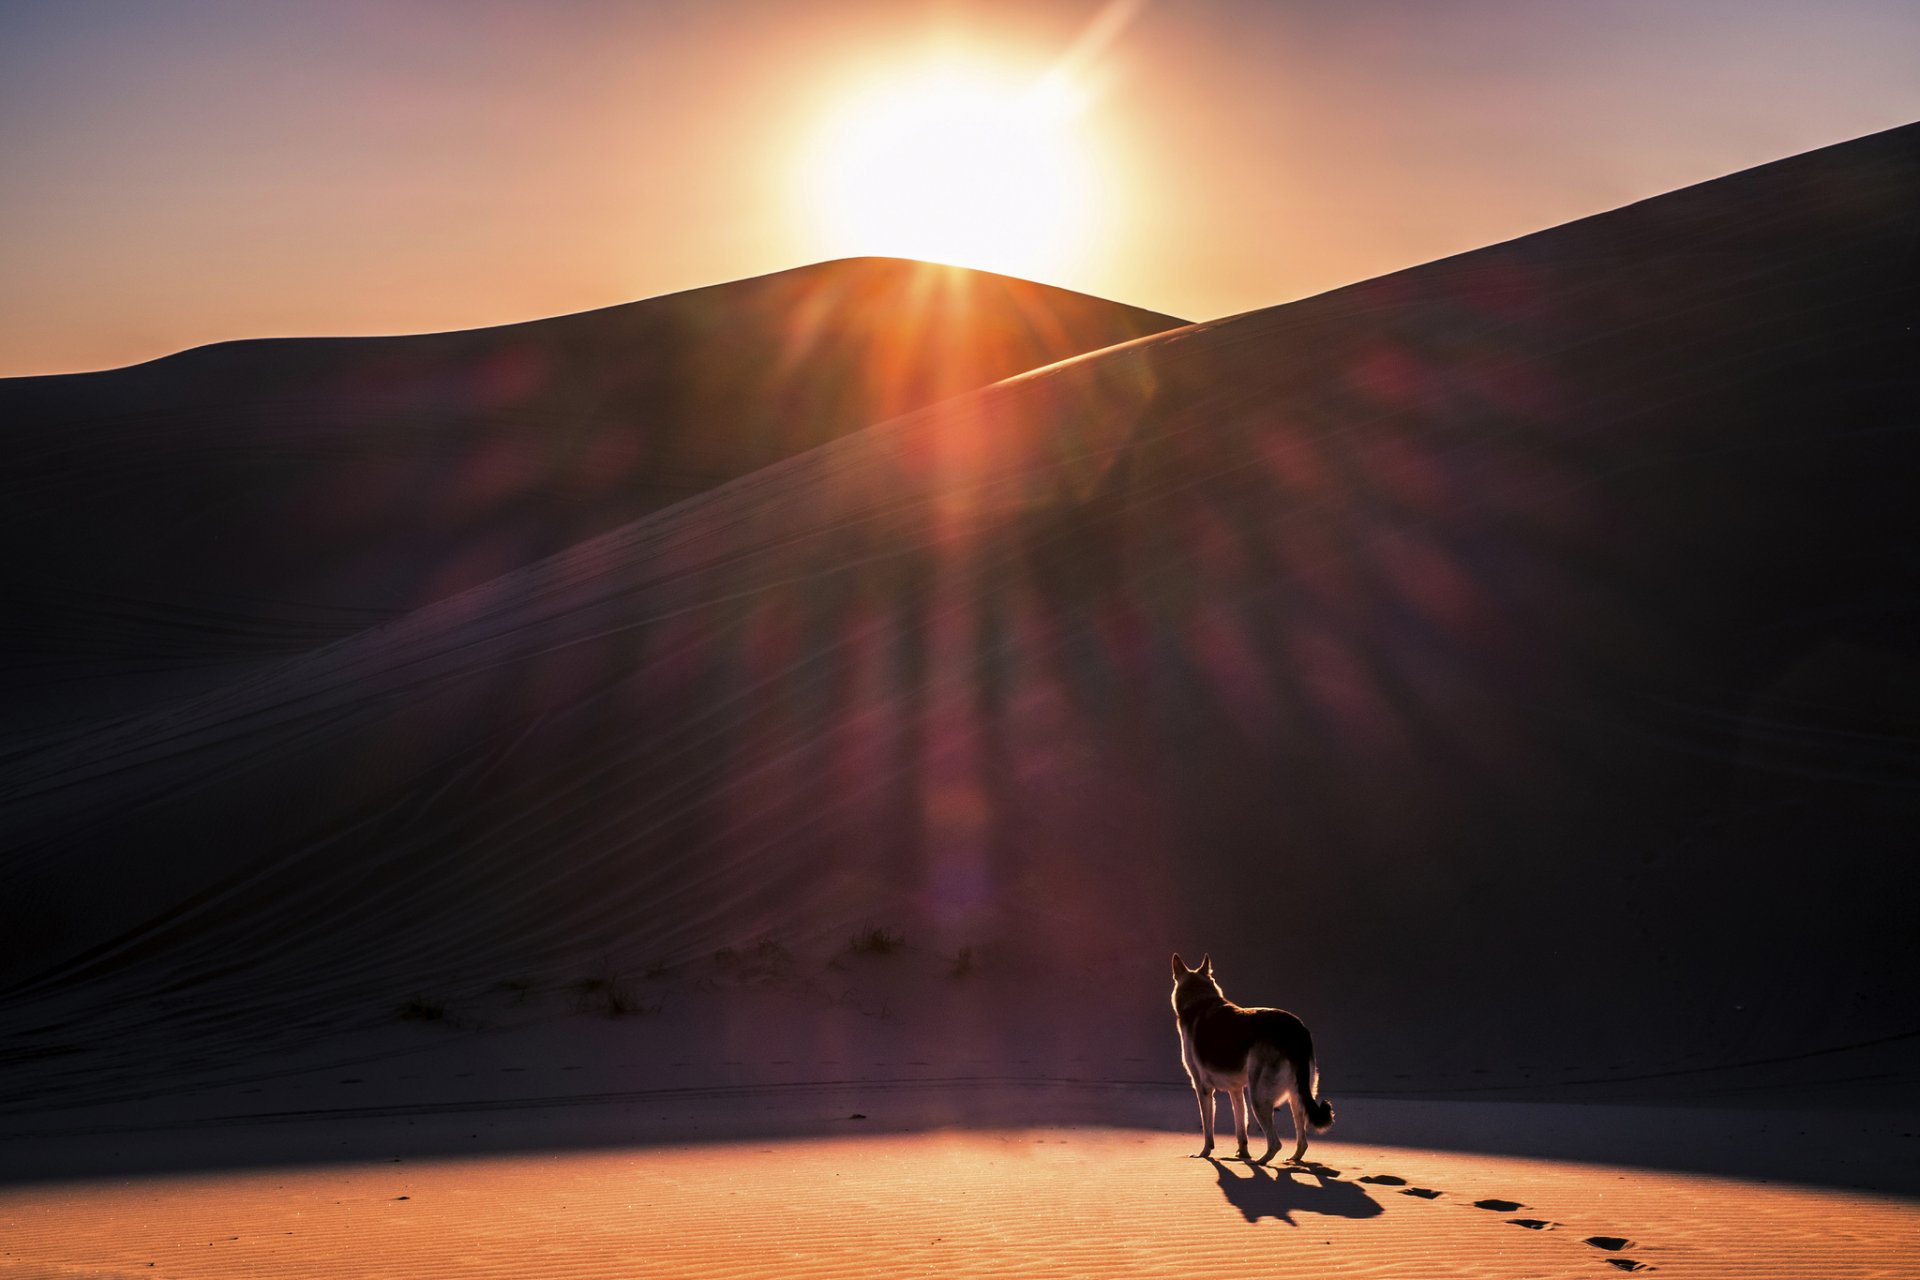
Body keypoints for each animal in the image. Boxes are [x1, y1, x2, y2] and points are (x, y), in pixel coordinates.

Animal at [1167, 955, 1336, 1166]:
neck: (1200, 999)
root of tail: (1295, 1031)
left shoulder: (1203, 1089)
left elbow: (1208, 1129)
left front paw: (1205, 1153)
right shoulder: (1235, 1090)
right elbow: (1241, 1128)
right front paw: (1242, 1153)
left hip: (1258, 1096)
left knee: (1275, 1143)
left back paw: (1260, 1161)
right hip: (1296, 1097)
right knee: (1302, 1141)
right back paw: (1291, 1159)